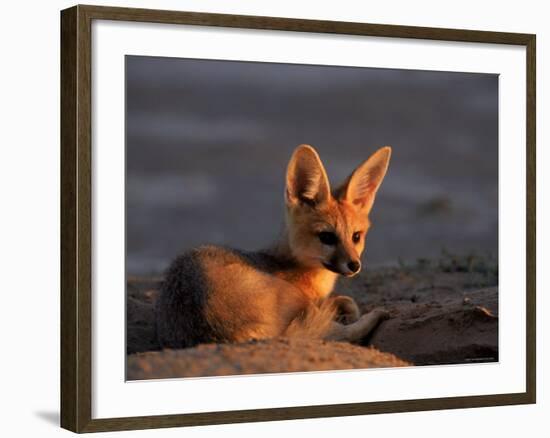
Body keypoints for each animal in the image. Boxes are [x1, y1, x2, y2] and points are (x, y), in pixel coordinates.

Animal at [156, 144, 392, 350]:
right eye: (326, 237)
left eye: (356, 236)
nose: (354, 265)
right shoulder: (308, 304)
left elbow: (344, 300)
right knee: (336, 334)